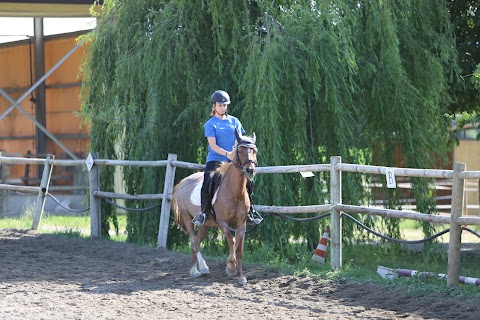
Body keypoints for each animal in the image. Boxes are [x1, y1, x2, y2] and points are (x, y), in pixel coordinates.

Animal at [171, 130, 256, 284]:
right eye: (240, 150)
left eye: (255, 151)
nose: (250, 170)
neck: (235, 192)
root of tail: (182, 183)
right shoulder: (222, 222)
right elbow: (232, 241)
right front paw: (231, 267)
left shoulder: (242, 223)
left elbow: (239, 247)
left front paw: (240, 276)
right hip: (187, 218)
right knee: (194, 241)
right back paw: (198, 270)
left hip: (205, 224)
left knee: (197, 242)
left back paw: (197, 269)